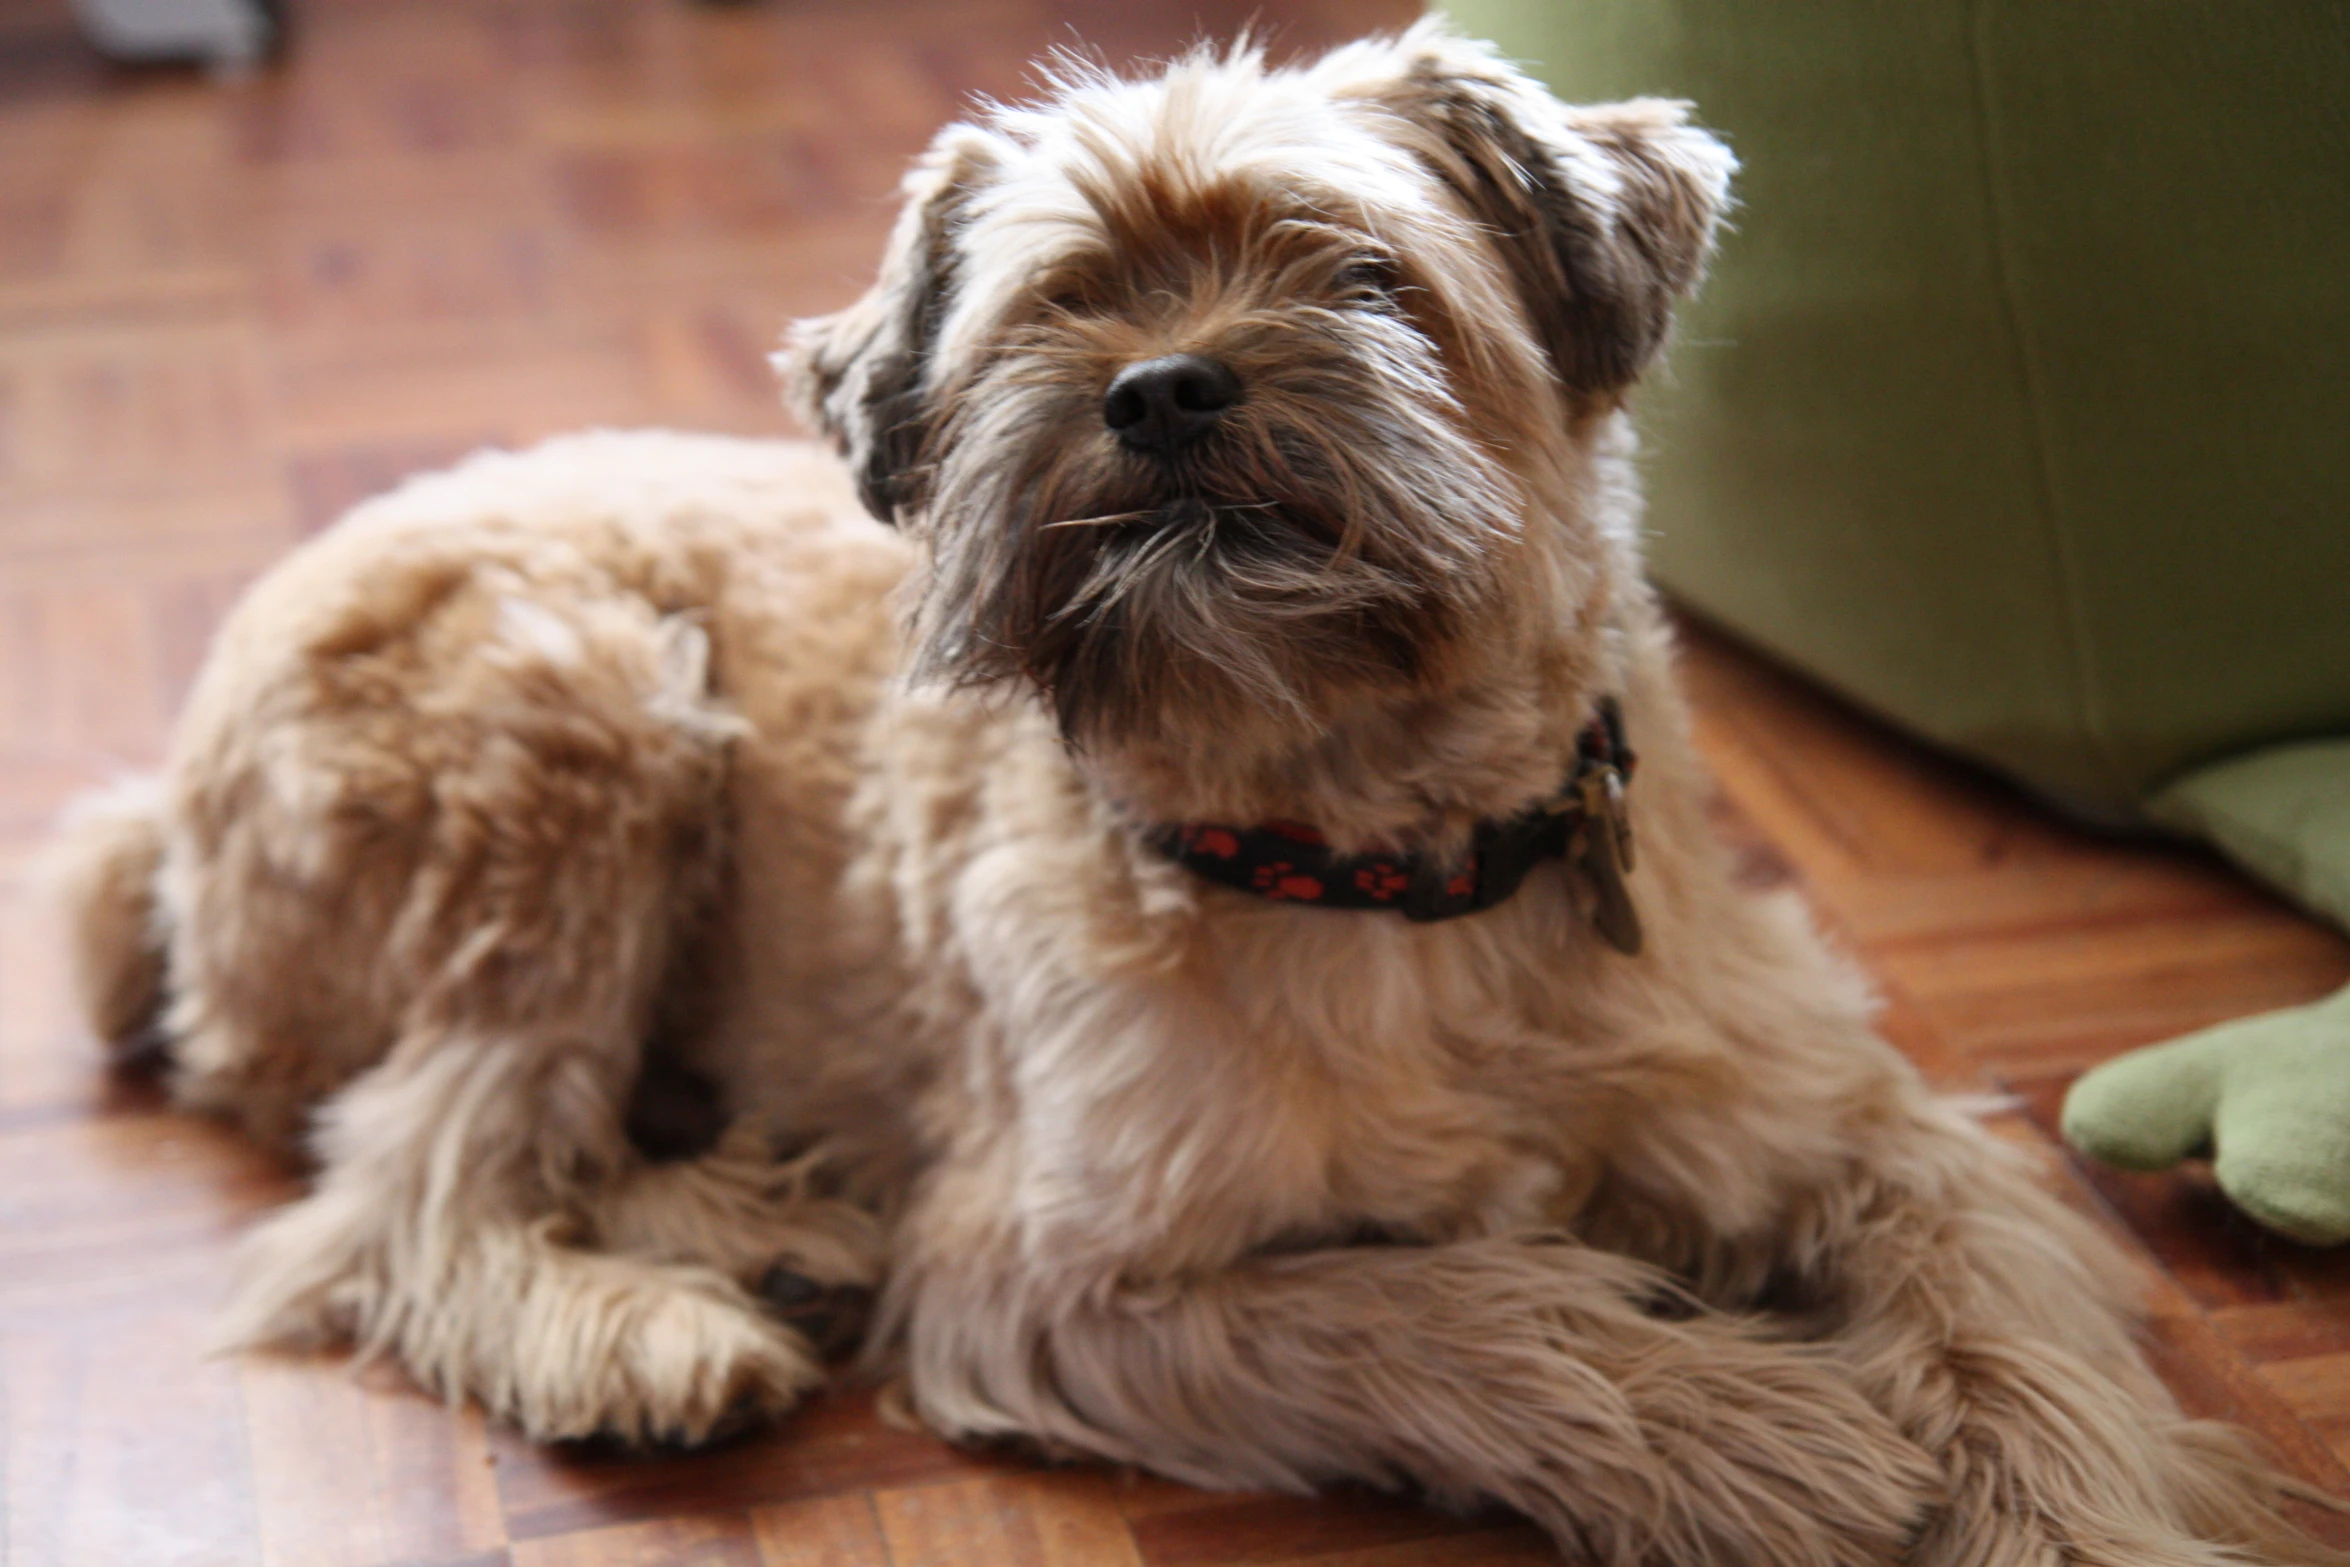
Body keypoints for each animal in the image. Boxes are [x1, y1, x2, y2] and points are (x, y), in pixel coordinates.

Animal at [45, 24, 2340, 1567]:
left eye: (1357, 274)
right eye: (1052, 311)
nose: (1157, 390)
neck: (1380, 858)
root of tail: (153, 821)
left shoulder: (1868, 1128)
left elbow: (2014, 1341)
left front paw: (2052, 1512)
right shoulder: (1060, 1279)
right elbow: (1450, 1309)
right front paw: (1763, 1434)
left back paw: (763, 1222)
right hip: (579, 729)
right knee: (415, 1181)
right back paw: (645, 1326)